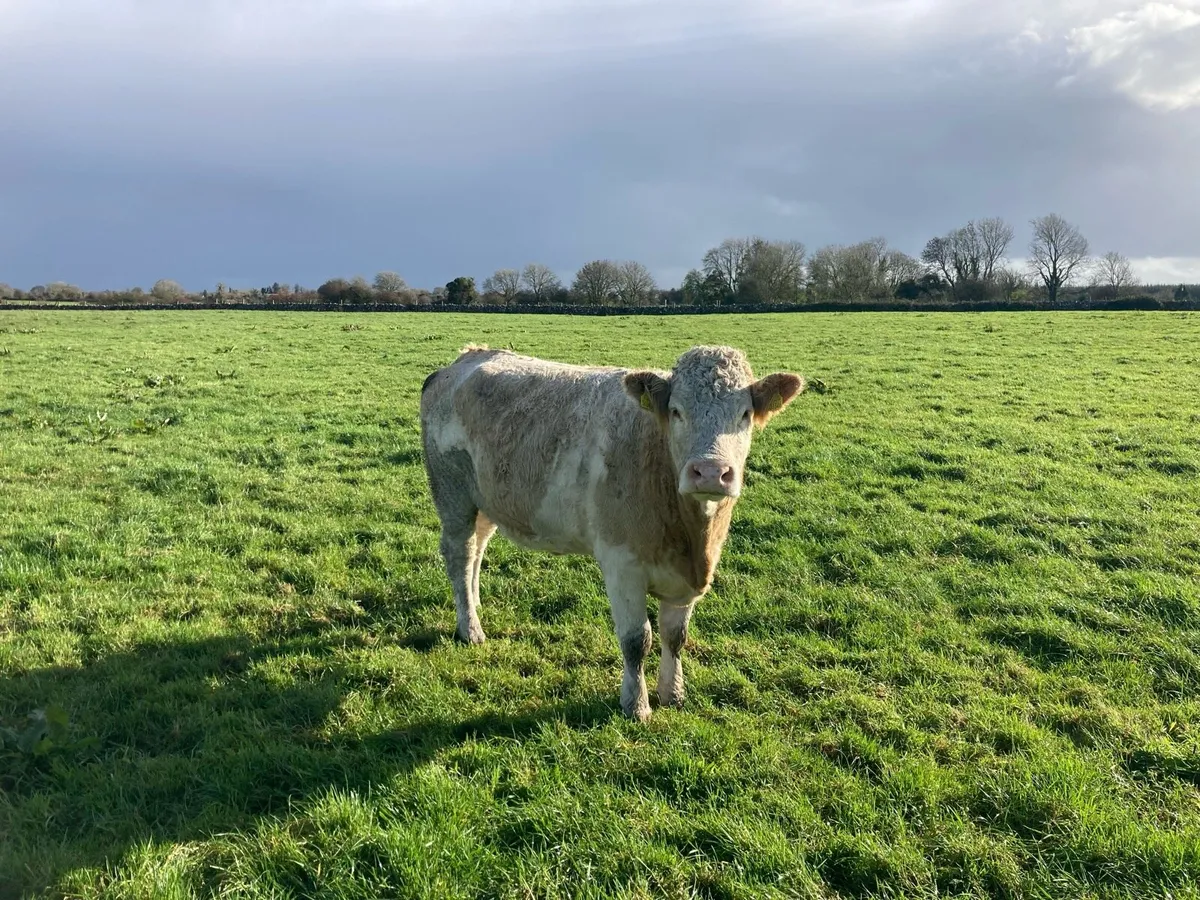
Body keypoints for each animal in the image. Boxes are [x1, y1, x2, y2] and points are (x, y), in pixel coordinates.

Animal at [419, 344, 805, 720]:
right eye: (676, 412)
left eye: (744, 414)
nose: (710, 472)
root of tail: (466, 357)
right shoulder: (622, 564)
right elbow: (637, 640)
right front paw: (636, 705)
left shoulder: (687, 578)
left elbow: (675, 636)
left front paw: (674, 694)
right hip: (453, 494)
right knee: (460, 555)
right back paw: (470, 627)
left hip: (486, 499)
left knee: (479, 548)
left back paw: (475, 602)